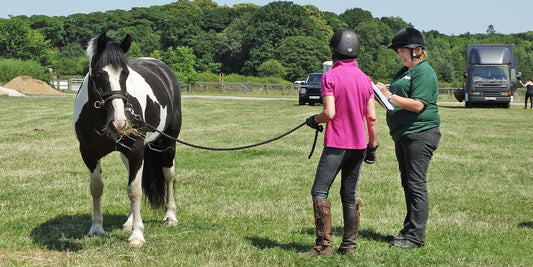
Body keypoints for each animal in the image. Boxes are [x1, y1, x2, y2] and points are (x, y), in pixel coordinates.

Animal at [72, 33, 182, 247]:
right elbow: (97, 188)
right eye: (99, 74)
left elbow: (135, 190)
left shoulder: (136, 151)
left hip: (168, 144)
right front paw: (96, 228)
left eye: (125, 74)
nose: (120, 122)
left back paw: (170, 217)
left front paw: (137, 235)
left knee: (169, 176)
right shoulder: (88, 153)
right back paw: (129, 221)